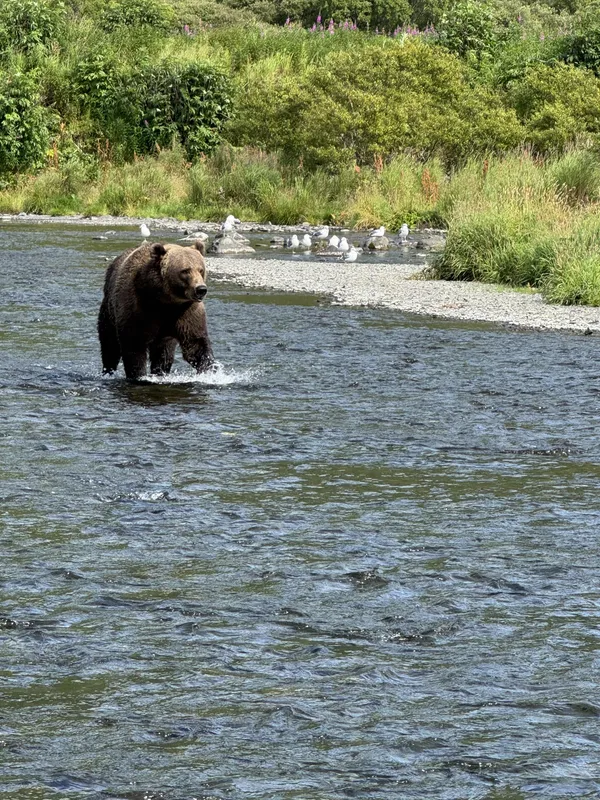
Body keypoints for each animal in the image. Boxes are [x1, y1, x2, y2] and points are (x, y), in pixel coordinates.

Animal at [97, 240, 214, 380]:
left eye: (201, 270)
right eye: (185, 271)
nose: (201, 289)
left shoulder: (186, 312)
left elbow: (195, 343)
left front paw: (210, 370)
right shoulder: (137, 307)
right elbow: (133, 345)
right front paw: (138, 375)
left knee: (164, 353)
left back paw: (160, 372)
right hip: (109, 310)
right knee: (109, 343)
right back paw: (107, 370)